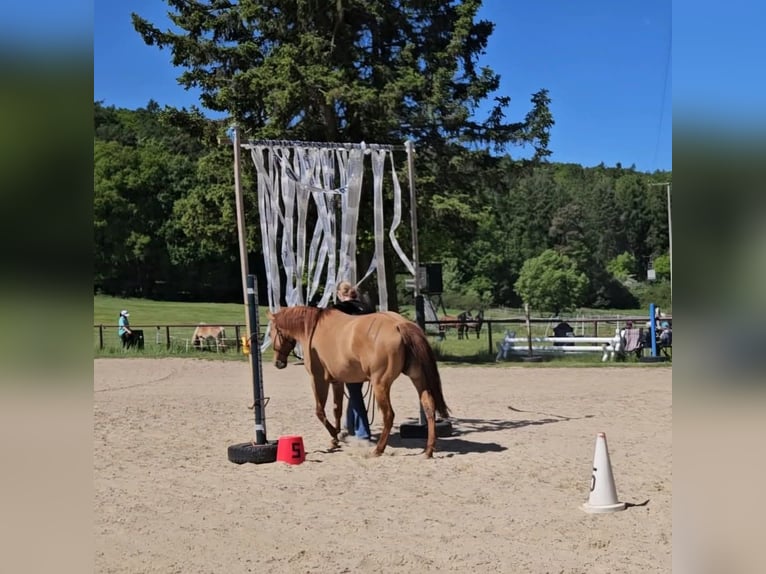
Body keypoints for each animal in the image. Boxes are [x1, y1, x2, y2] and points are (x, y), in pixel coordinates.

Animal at [267, 306, 450, 458]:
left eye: (270, 333)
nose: (278, 363)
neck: (313, 329)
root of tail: (399, 324)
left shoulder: (318, 379)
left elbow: (320, 411)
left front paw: (334, 435)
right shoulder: (337, 381)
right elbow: (337, 409)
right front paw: (336, 437)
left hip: (380, 384)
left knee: (389, 415)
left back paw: (378, 449)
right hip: (418, 378)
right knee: (429, 407)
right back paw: (428, 450)